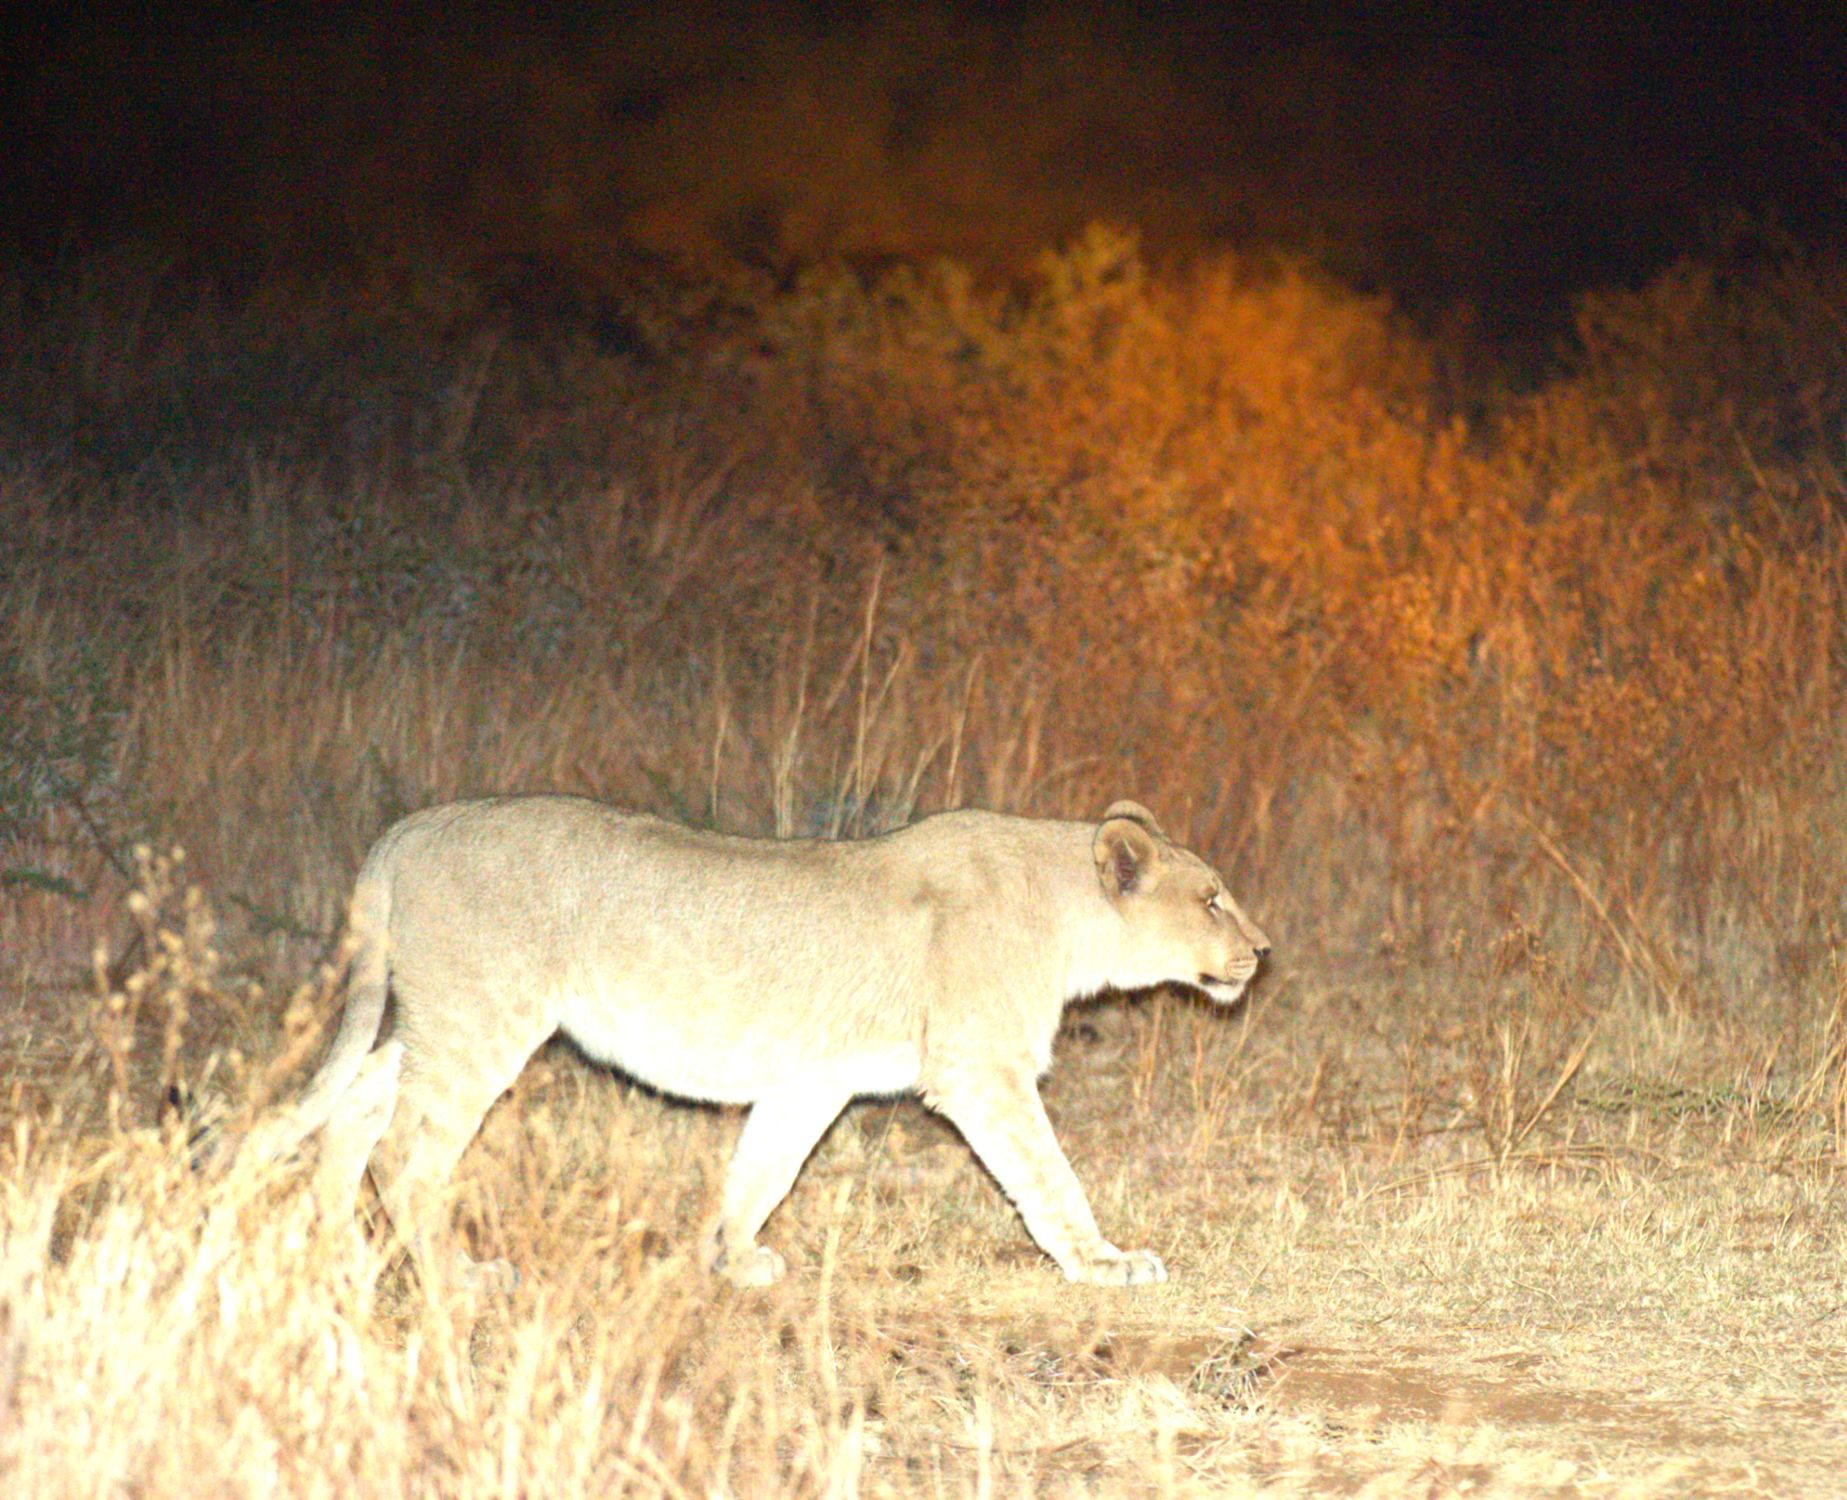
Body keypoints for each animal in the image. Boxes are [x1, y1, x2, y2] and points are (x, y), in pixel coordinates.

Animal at [278, 796, 1270, 1289]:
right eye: (1212, 898)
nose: (1262, 952)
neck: (1064, 916)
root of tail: (409, 827)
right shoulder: (978, 1069)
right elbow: (1048, 1175)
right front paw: (1105, 1263)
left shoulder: (814, 1081)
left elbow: (765, 1169)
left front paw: (730, 1257)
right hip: (484, 1015)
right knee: (406, 1153)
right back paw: (453, 1274)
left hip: (439, 1013)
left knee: (356, 1106)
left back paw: (338, 1253)